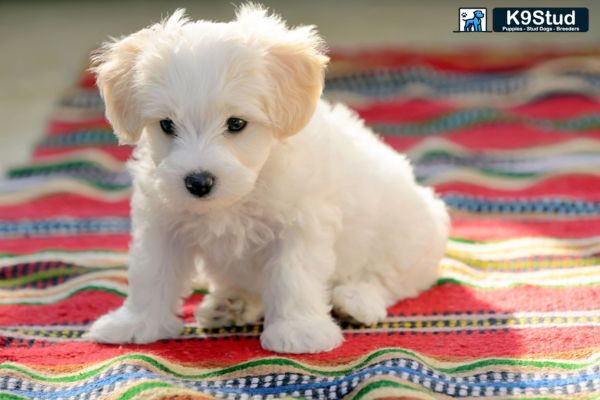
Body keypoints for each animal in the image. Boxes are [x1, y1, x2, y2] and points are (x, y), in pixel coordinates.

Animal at [86, 3, 448, 354]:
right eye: (166, 125)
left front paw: (299, 331)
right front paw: (136, 323)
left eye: (236, 123)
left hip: (408, 236)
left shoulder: (300, 224)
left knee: (387, 279)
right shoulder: (163, 221)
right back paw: (231, 304)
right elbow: (151, 272)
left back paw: (355, 301)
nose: (198, 182)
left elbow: (293, 276)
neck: (242, 192)